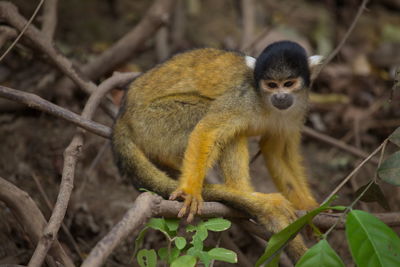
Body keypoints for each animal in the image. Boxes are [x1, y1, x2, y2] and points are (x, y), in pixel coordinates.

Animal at [111, 40, 322, 262]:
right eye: (271, 85)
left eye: (288, 83)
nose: (280, 96)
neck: (266, 103)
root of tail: (122, 114)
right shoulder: (243, 98)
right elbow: (207, 129)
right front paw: (190, 191)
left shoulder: (298, 107)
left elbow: (276, 152)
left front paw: (308, 206)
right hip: (151, 122)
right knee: (213, 117)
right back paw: (246, 196)